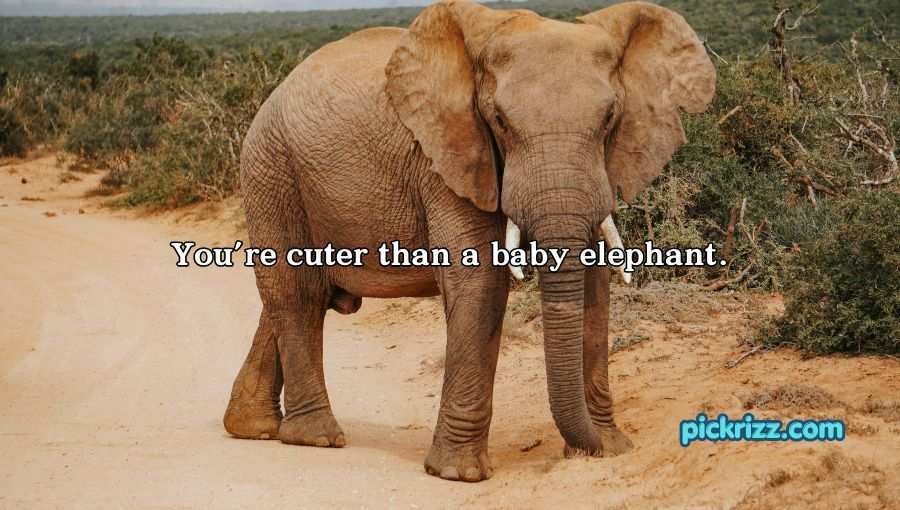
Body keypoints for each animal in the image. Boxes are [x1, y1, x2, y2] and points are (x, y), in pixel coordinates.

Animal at [223, 0, 715, 482]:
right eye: (499, 121)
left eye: (610, 118)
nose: (589, 447)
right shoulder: (447, 155)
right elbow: (480, 280)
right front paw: (458, 473)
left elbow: (595, 283)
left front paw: (609, 448)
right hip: (271, 167)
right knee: (297, 294)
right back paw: (316, 437)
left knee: (302, 297)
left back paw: (252, 427)